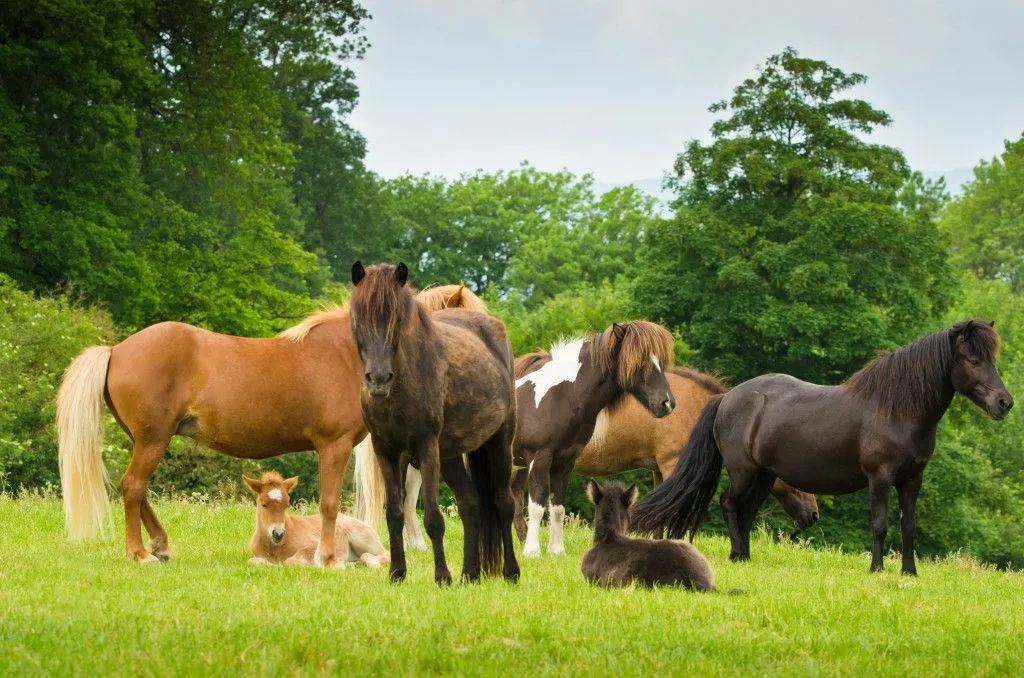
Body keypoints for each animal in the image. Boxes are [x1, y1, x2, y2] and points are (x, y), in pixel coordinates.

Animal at [244, 471, 389, 568]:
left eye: (286, 505)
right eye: (264, 504)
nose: (278, 534)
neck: (275, 548)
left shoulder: (313, 545)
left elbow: (291, 561)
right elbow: (253, 561)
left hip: (363, 539)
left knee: (384, 554)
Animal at [349, 261, 519, 585]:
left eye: (397, 317)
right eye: (358, 315)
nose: (378, 379)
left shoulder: (426, 448)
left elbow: (433, 519)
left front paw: (441, 576)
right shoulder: (386, 450)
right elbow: (394, 513)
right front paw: (397, 573)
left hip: (499, 443)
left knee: (503, 503)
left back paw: (511, 572)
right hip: (451, 456)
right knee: (470, 503)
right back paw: (470, 574)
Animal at [513, 322, 676, 557]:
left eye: (660, 361)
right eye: (639, 361)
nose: (667, 404)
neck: (560, 395)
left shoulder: (564, 462)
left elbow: (558, 508)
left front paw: (557, 552)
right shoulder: (540, 458)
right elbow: (536, 506)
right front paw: (533, 552)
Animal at [631, 320, 1014, 575]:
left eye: (991, 359)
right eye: (972, 360)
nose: (1004, 402)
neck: (896, 409)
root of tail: (727, 398)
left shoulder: (912, 480)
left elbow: (909, 527)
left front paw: (910, 572)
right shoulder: (879, 478)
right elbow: (879, 524)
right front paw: (877, 569)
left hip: (765, 477)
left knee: (746, 512)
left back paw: (745, 555)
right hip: (744, 471)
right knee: (729, 504)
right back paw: (738, 554)